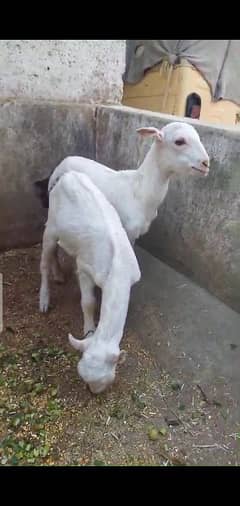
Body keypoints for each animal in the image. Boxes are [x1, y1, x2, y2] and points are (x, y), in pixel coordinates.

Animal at [39, 172, 140, 394]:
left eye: (105, 379)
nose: (94, 393)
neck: (118, 269)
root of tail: (67, 175)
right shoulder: (85, 268)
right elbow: (88, 302)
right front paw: (88, 327)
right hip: (50, 225)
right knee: (44, 261)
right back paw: (44, 300)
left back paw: (59, 274)